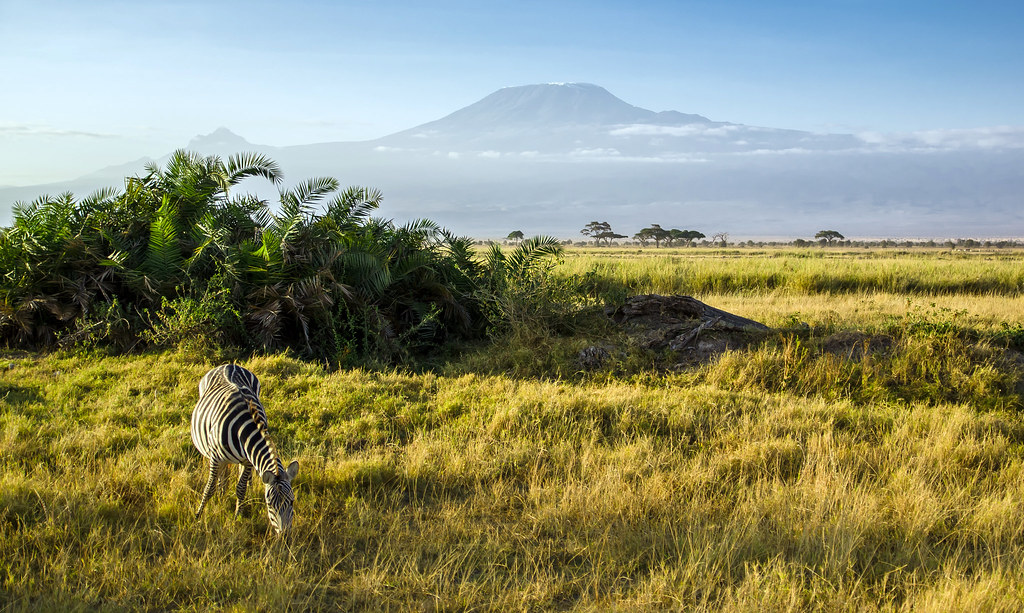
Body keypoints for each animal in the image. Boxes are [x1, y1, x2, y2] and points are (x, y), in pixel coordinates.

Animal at [190, 366, 299, 536]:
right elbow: (209, 488)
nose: (285, 536)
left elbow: (240, 488)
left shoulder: (248, 460)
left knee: (238, 477)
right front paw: (198, 515)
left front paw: (237, 515)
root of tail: (229, 365)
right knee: (219, 475)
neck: (245, 429)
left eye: (292, 501)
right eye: (269, 504)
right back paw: (220, 493)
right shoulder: (215, 457)